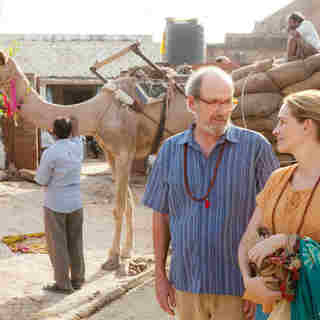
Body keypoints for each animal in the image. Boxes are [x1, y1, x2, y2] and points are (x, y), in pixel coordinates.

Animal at [0, 51, 194, 272]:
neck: (97, 113)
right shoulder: (111, 154)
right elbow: (128, 203)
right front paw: (126, 253)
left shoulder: (125, 152)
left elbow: (118, 207)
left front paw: (113, 259)